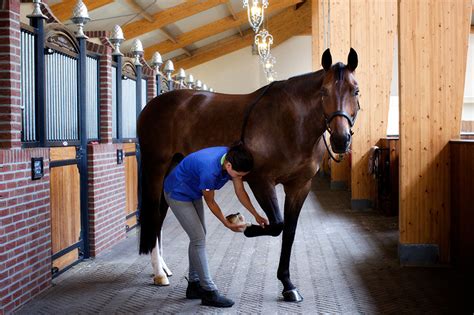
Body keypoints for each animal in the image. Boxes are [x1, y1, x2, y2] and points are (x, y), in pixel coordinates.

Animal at [137, 48, 360, 302]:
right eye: (324, 91)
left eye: (355, 90)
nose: (341, 140)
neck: (290, 122)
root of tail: (152, 105)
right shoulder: (261, 181)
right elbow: (277, 225)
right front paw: (250, 228)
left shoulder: (299, 186)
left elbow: (289, 232)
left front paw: (288, 284)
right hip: (156, 169)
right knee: (154, 215)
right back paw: (158, 273)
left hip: (172, 170)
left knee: (160, 216)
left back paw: (164, 268)